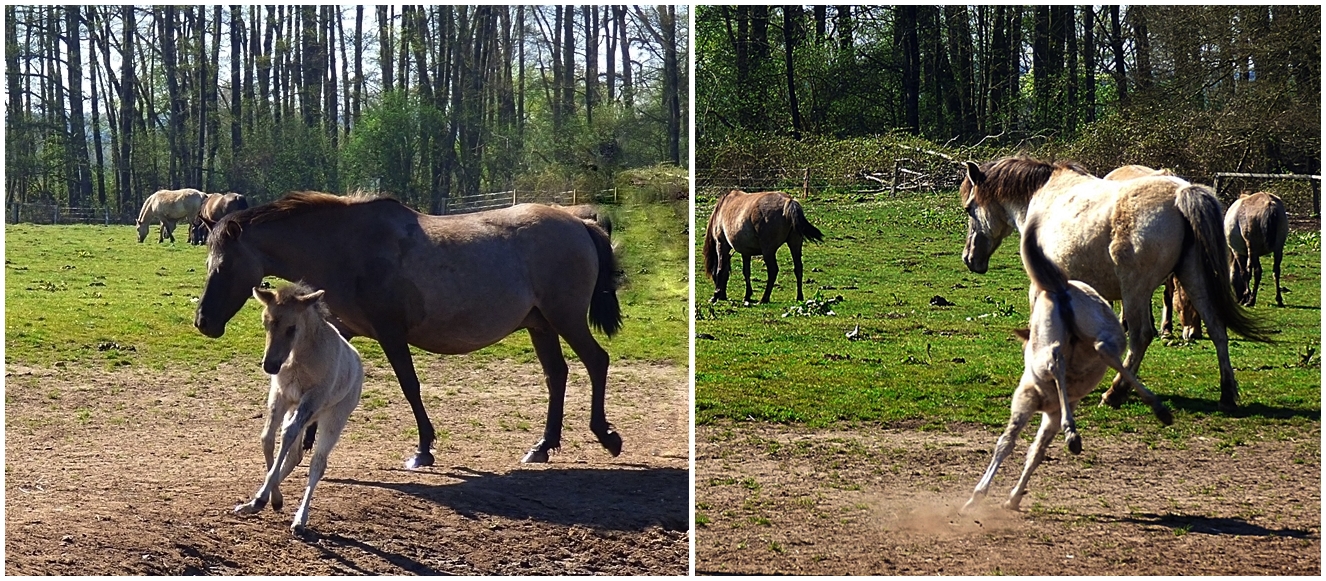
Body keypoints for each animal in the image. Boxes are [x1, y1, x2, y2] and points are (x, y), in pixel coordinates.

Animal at [196, 192, 625, 469]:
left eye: (224, 266)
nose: (203, 321)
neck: (346, 248)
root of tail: (580, 222)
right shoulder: (343, 330)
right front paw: (305, 443)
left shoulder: (391, 333)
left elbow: (410, 386)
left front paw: (423, 449)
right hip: (541, 325)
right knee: (557, 375)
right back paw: (543, 445)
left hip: (565, 318)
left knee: (596, 361)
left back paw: (605, 434)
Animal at [230, 281, 360, 535]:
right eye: (266, 323)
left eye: (292, 328)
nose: (270, 365)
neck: (299, 358)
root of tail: (358, 365)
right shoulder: (281, 396)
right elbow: (268, 438)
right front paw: (267, 500)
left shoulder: (311, 399)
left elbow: (287, 434)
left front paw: (264, 498)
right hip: (300, 411)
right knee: (295, 453)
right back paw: (259, 503)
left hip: (333, 418)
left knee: (318, 463)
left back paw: (300, 520)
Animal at [960, 154, 1267, 411]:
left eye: (969, 209)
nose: (969, 258)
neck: (1042, 198)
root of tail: (1181, 193)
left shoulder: (1042, 287)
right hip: (1194, 279)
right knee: (1216, 328)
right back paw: (1227, 395)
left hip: (1135, 290)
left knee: (1141, 335)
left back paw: (1115, 393)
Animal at [965, 217, 1172, 512]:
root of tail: (1060, 287)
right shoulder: (1047, 415)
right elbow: (1036, 452)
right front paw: (1013, 497)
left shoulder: (1026, 401)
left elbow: (1007, 443)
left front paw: (979, 496)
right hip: (1108, 334)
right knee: (1104, 350)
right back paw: (1157, 408)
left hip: (1050, 347)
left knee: (1056, 360)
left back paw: (1074, 434)